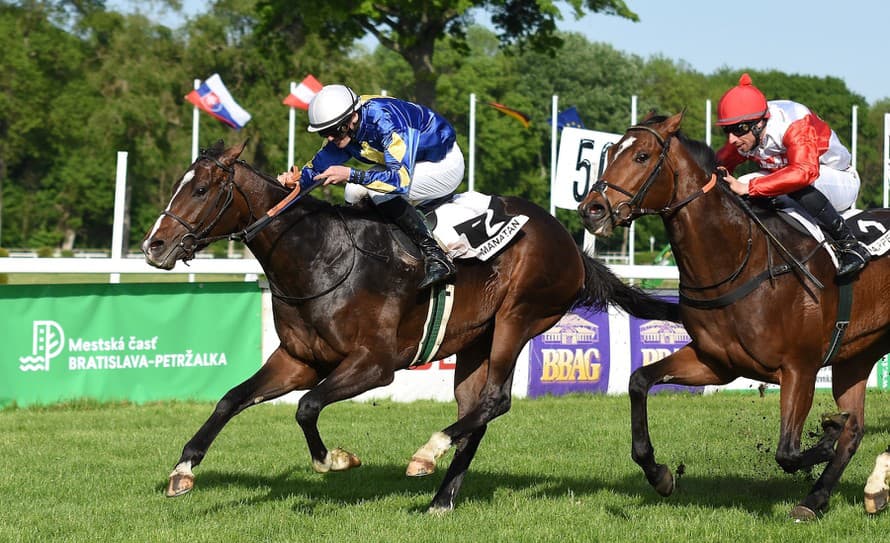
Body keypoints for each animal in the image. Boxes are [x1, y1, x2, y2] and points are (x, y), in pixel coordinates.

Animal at [142, 140, 676, 516]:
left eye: (201, 189)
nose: (154, 246)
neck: (318, 255)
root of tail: (570, 243)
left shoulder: (374, 364)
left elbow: (307, 406)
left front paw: (337, 459)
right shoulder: (297, 360)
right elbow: (231, 398)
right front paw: (183, 470)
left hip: (518, 317)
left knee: (496, 400)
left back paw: (427, 454)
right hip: (476, 340)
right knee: (476, 411)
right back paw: (442, 497)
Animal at [576, 111, 888, 524]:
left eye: (642, 156)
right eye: (610, 152)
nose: (591, 209)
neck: (739, 258)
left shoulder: (800, 368)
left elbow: (789, 451)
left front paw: (828, 431)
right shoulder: (716, 362)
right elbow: (639, 380)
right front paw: (659, 474)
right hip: (857, 355)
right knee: (855, 432)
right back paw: (821, 498)